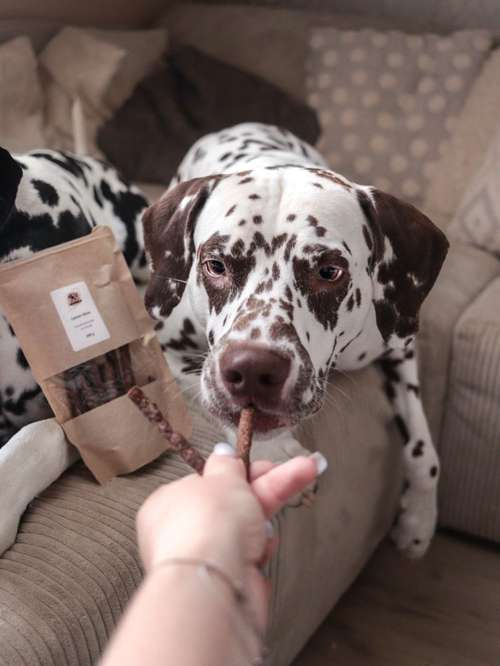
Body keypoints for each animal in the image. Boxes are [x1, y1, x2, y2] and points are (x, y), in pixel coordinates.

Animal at [143, 120, 448, 556]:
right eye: (216, 264)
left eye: (328, 271)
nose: (253, 369)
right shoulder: (169, 350)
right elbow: (208, 395)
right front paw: (278, 453)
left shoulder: (399, 346)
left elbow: (424, 452)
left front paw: (420, 519)